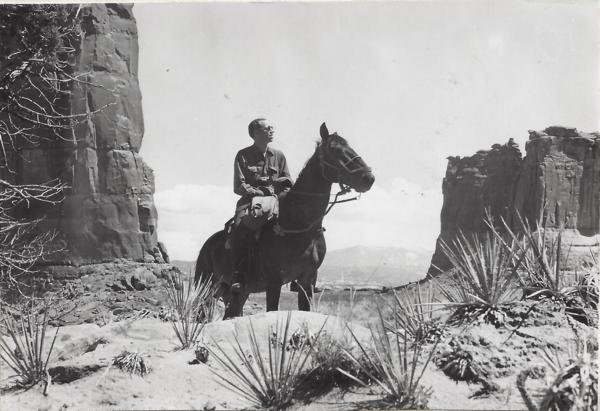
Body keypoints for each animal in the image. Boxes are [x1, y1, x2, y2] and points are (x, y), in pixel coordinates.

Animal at [194, 123, 375, 318]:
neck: (299, 226)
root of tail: (208, 244)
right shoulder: (274, 281)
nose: (368, 178)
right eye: (334, 149)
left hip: (238, 292)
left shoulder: (308, 280)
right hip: (206, 287)